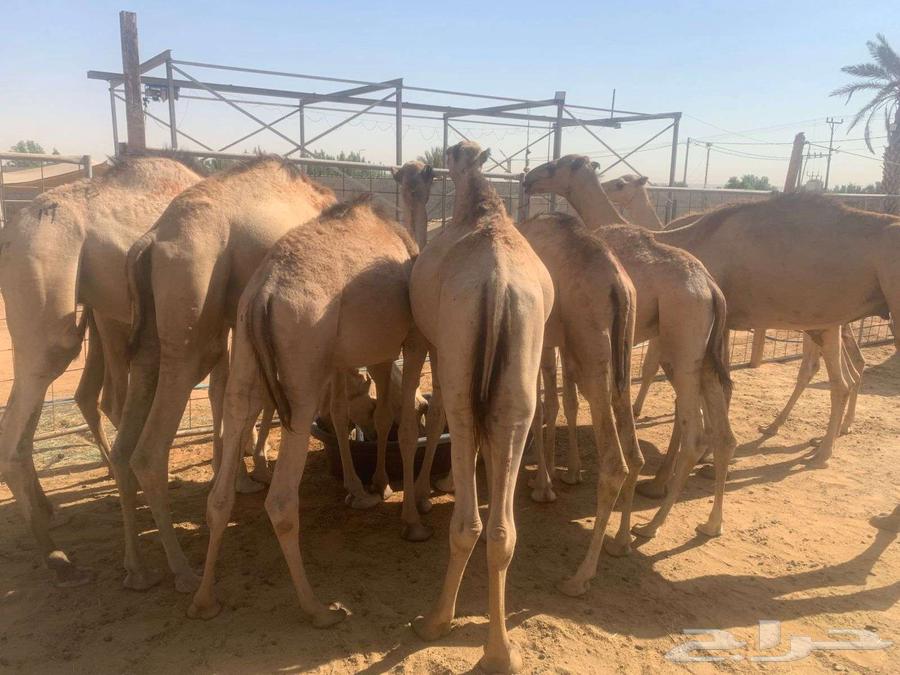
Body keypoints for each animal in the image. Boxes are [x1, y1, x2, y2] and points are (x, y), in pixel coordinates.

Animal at [114, 156, 336, 593]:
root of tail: (150, 241)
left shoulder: (244, 317)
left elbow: (234, 394)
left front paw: (245, 475)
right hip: (192, 295)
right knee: (149, 452)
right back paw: (184, 572)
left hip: (156, 325)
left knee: (124, 445)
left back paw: (137, 570)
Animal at [187, 193, 431, 625]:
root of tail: (264, 294)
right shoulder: (411, 339)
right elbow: (399, 423)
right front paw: (410, 519)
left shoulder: (351, 356)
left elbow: (352, 414)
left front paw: (368, 488)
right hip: (302, 359)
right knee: (281, 500)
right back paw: (319, 608)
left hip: (247, 349)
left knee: (222, 480)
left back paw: (204, 601)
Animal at [408, 142, 552, 673]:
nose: (424, 166)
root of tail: (497, 284)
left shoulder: (435, 343)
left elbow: (433, 416)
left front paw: (434, 487)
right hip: (518, 380)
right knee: (502, 531)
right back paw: (500, 652)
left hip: (460, 360)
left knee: (467, 515)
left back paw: (434, 620)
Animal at [522, 155, 736, 550]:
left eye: (558, 164)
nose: (529, 178)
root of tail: (713, 290)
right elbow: (571, 399)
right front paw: (568, 471)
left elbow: (562, 399)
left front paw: (555, 476)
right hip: (702, 352)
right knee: (722, 423)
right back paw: (709, 522)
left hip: (681, 347)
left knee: (693, 428)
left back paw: (652, 521)